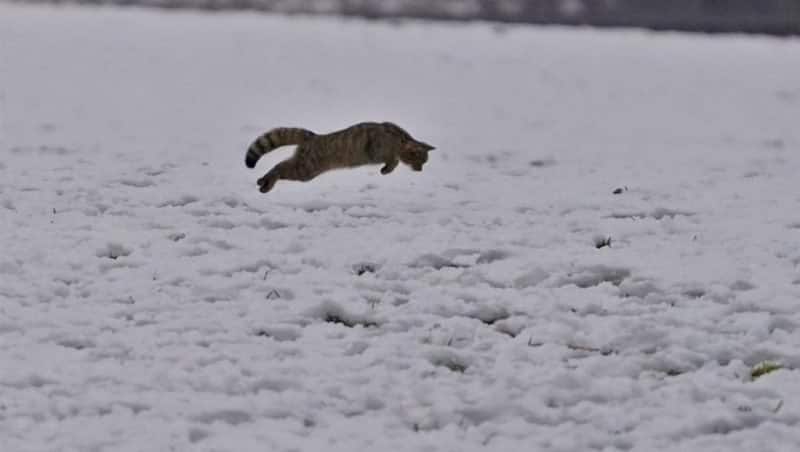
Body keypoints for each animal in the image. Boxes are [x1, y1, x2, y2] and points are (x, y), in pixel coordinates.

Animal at [244, 122, 434, 192]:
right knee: (279, 167)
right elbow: (393, 160)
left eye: (424, 162)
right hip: (305, 169)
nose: (420, 170)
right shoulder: (377, 151)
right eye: (420, 160)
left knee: (281, 165)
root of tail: (314, 136)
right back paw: (265, 183)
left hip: (304, 167)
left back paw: (263, 182)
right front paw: (388, 168)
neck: (399, 139)